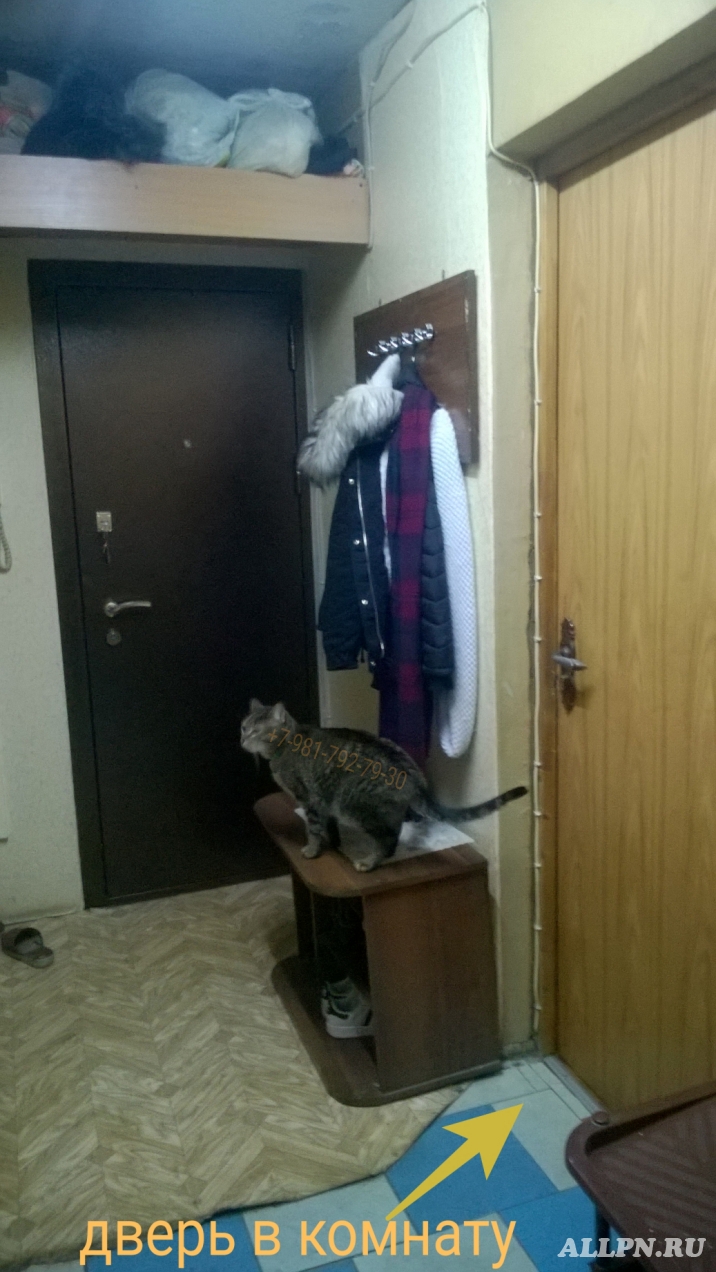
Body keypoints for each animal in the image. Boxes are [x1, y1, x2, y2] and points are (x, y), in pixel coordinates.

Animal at [241, 700, 528, 871]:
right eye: (243, 727)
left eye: (255, 731)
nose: (242, 740)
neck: (286, 745)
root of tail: (413, 773)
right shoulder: (324, 801)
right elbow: (329, 827)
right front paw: (333, 843)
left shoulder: (310, 799)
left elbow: (313, 830)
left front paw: (312, 850)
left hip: (357, 807)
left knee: (389, 838)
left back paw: (369, 862)